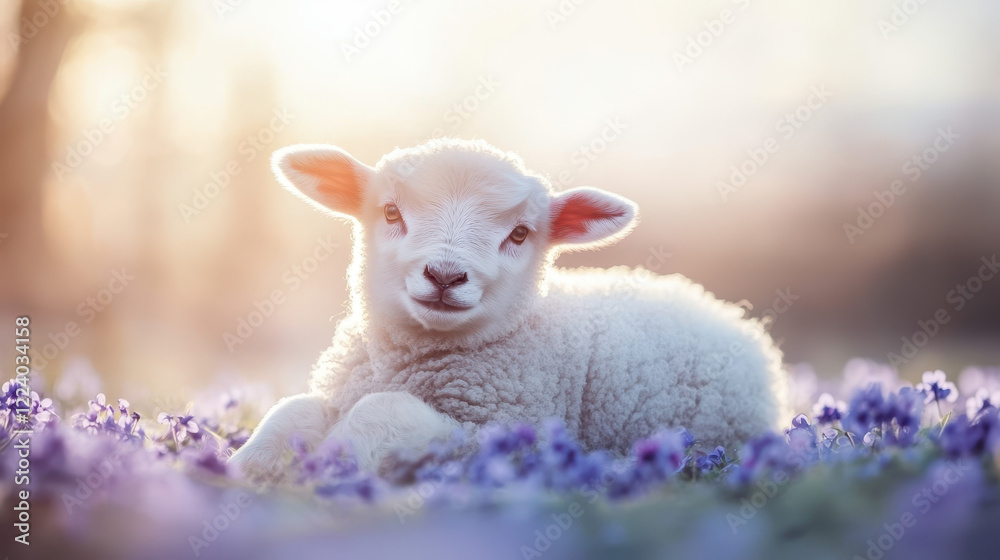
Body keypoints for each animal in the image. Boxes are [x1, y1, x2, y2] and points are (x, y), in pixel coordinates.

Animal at [228, 138, 789, 478]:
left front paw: (327, 467)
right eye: (390, 212)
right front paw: (243, 469)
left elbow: (383, 412)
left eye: (519, 234)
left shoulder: (497, 435)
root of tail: (717, 306)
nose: (445, 275)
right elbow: (290, 411)